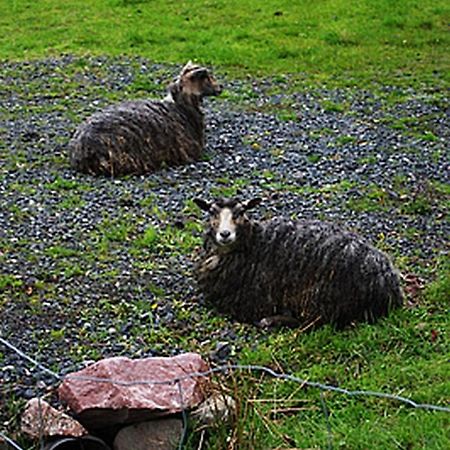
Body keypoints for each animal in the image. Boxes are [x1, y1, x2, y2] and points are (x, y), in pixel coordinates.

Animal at [193, 197, 404, 330]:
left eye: (241, 212)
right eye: (211, 212)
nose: (225, 234)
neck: (253, 243)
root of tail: (389, 282)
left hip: (321, 299)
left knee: (315, 323)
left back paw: (270, 321)